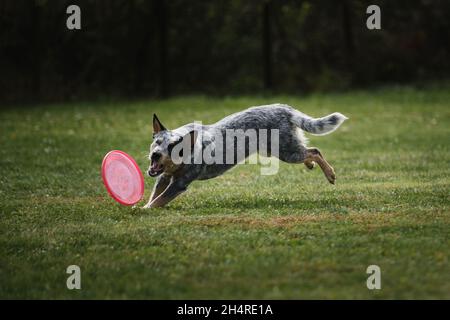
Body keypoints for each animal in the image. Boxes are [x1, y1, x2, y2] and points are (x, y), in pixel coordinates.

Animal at [144, 104, 348, 210]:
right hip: (280, 149)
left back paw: (330, 174)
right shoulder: (163, 177)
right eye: (157, 142)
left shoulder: (179, 183)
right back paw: (310, 165)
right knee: (308, 151)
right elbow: (154, 195)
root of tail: (283, 108)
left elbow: (157, 201)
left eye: (173, 147)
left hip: (286, 152)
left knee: (315, 151)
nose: (156, 154)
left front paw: (143, 210)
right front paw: (143, 205)